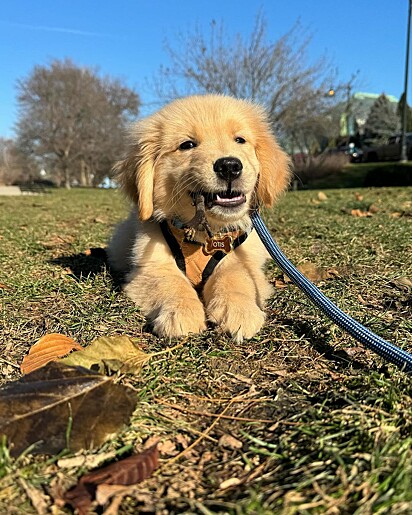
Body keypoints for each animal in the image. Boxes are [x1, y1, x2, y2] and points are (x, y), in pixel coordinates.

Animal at [108, 94, 292, 340]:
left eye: (240, 140)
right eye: (187, 145)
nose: (229, 166)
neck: (205, 233)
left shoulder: (242, 259)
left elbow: (235, 277)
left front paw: (239, 310)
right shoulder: (151, 265)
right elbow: (170, 282)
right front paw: (181, 312)